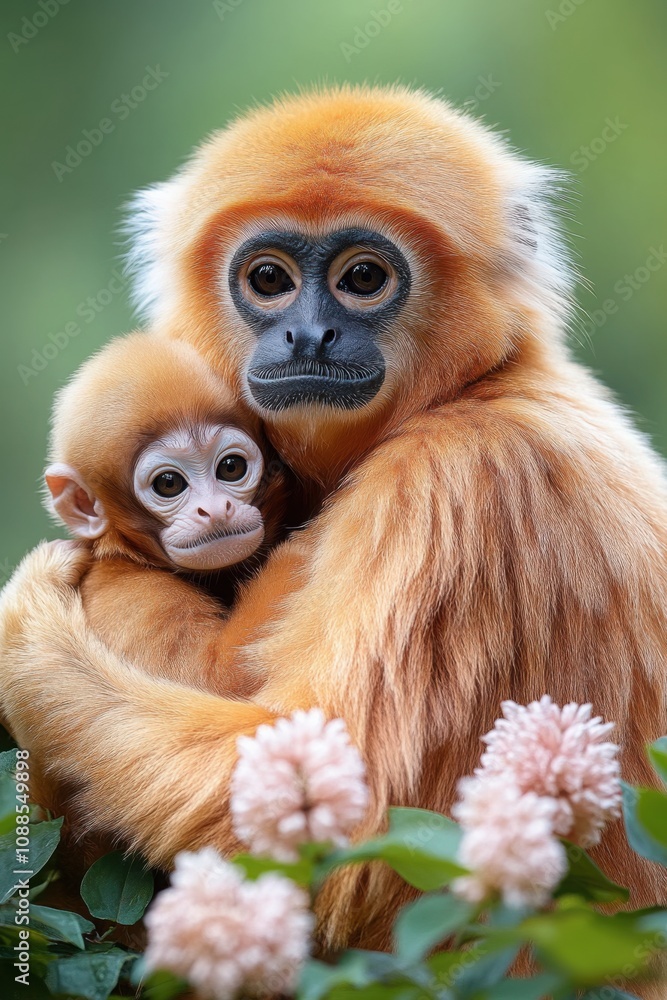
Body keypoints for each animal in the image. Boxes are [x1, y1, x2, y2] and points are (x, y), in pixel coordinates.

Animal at [1, 85, 667, 962]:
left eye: (362, 277)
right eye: (269, 279)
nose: (308, 332)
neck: (477, 388)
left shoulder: (454, 478)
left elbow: (345, 828)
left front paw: (26, 637)